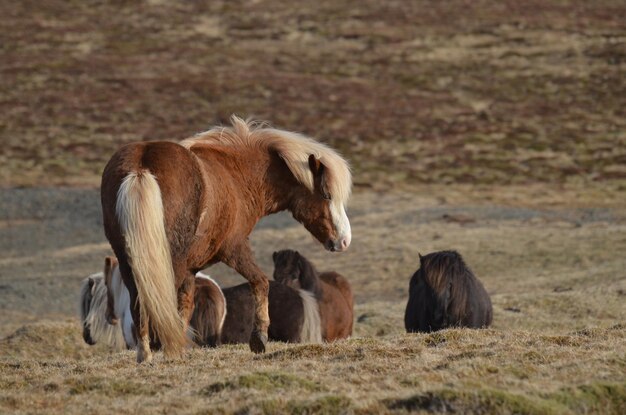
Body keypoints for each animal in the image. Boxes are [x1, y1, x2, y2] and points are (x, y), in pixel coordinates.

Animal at [100, 115, 348, 362]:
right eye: (327, 195)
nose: (344, 240)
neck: (236, 175)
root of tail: (141, 166)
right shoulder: (235, 248)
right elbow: (261, 282)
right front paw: (259, 338)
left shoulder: (191, 270)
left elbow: (184, 307)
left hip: (131, 263)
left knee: (140, 304)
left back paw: (146, 354)